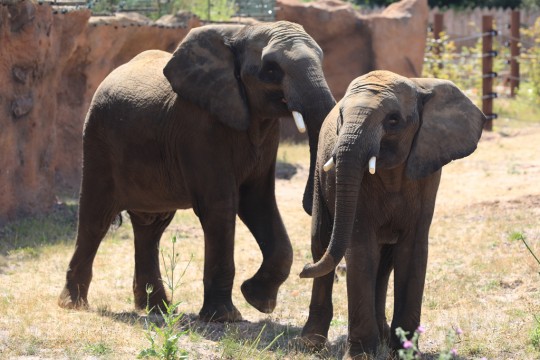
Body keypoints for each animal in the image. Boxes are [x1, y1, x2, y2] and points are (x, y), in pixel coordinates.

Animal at [60, 21, 338, 322]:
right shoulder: (199, 127)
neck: (239, 32)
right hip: (97, 140)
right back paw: (73, 304)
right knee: (95, 218)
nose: (309, 203)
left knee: (151, 227)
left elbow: (258, 202)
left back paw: (158, 309)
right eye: (271, 69)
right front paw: (226, 317)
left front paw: (257, 300)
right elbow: (220, 206)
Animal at [298, 70, 488, 358]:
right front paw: (362, 355)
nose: (300, 271)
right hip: (320, 177)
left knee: (383, 262)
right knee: (321, 242)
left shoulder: (426, 172)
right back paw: (311, 343)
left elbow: (412, 251)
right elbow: (361, 250)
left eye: (393, 120)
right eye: (341, 116)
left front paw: (406, 351)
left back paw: (385, 337)